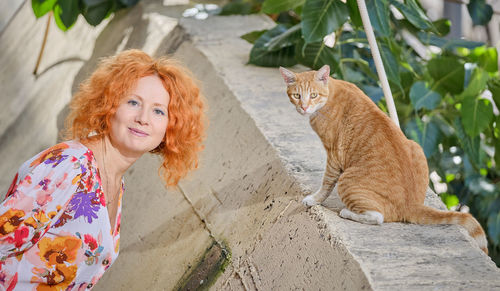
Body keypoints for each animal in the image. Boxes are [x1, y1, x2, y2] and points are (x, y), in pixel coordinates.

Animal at [282, 65, 488, 254]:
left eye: (313, 95)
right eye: (297, 95)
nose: (304, 107)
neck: (331, 91)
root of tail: (412, 205)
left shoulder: (334, 155)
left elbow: (325, 184)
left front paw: (313, 199)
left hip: (347, 181)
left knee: (377, 217)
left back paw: (347, 212)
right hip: (416, 146)